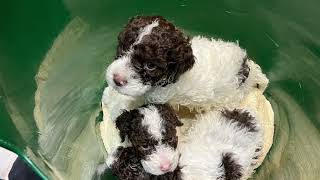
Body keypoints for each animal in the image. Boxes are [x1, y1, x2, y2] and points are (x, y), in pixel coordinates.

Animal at [104, 15, 268, 111]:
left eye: (150, 66)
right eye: (123, 47)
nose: (117, 79)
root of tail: (245, 66)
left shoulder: (158, 95)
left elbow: (136, 98)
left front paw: (115, 103)